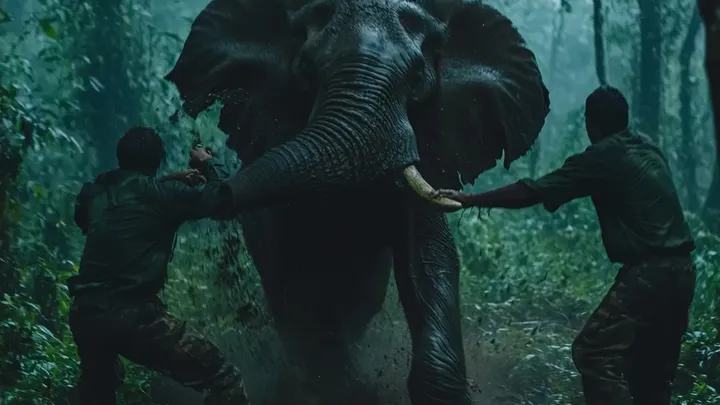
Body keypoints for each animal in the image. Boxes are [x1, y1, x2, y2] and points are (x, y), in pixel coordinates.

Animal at [165, 0, 549, 403]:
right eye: (307, 69)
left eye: (417, 78)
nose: (205, 169)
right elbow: (298, 269)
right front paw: (337, 386)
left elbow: (429, 260)